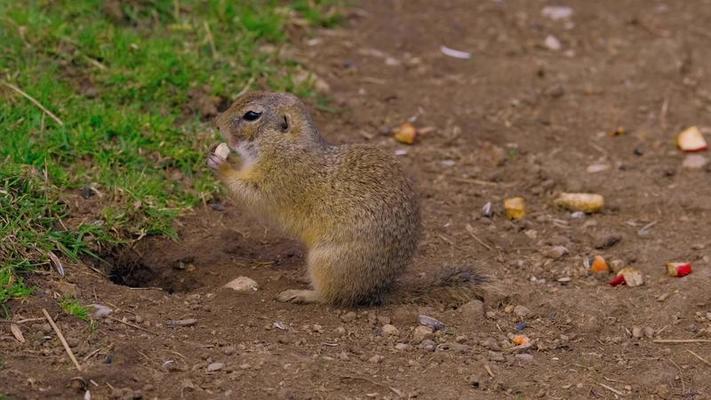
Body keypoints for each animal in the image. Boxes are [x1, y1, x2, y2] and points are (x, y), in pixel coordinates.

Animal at [211, 90, 422, 304]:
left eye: (252, 115)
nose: (217, 123)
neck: (284, 144)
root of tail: (380, 287)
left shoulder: (279, 178)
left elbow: (251, 193)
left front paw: (221, 165)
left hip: (326, 262)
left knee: (331, 296)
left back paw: (300, 294)